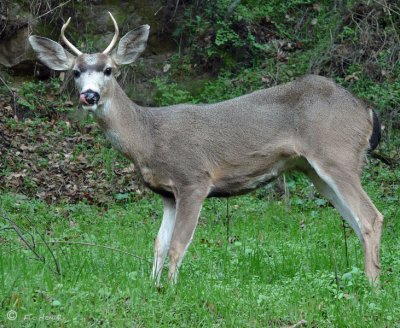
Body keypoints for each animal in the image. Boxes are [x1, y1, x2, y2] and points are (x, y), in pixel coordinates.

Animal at [29, 11, 382, 286]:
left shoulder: (193, 179)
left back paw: (372, 286)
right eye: (76, 72)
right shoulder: (167, 194)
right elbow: (158, 244)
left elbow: (178, 244)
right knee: (354, 220)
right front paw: (153, 287)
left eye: (108, 69)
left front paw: (171, 290)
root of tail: (365, 110)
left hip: (336, 153)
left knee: (370, 216)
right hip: (315, 169)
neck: (148, 137)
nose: (89, 96)